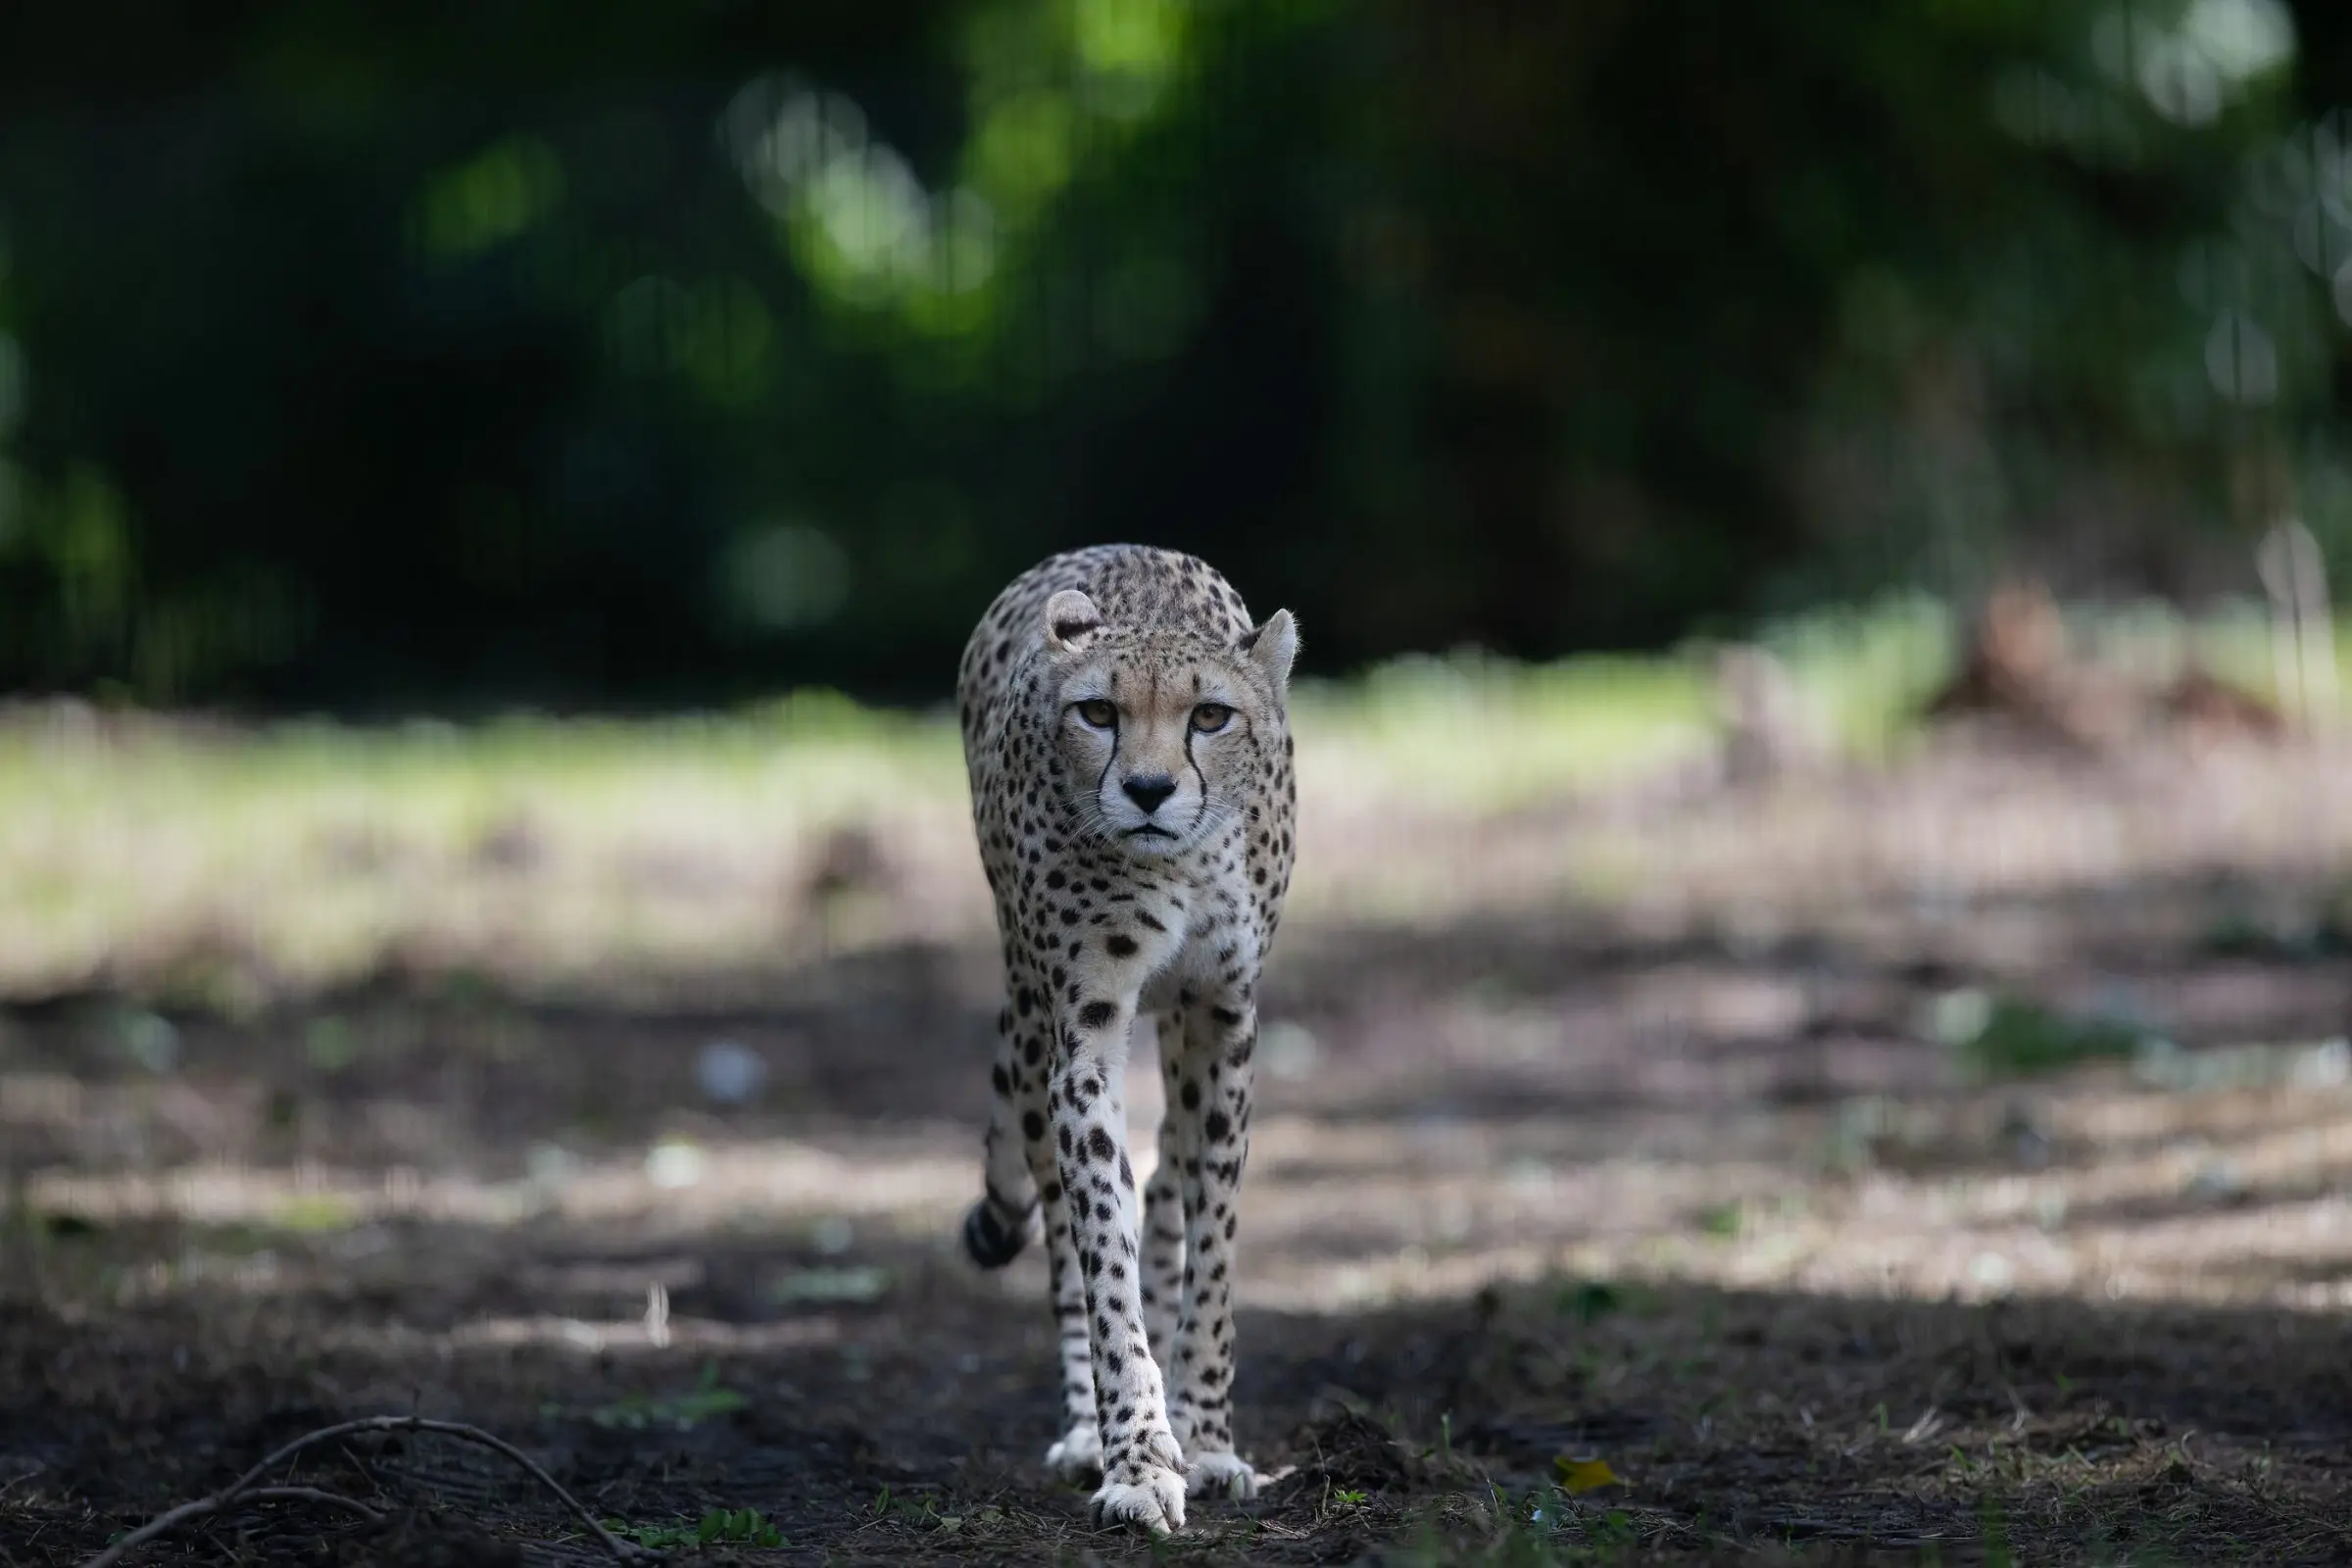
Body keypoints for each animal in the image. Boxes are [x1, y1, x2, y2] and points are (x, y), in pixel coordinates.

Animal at [952, 543, 1299, 1536]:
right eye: (1098, 713)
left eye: (1210, 715)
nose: (1148, 791)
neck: (1178, 862)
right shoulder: (1084, 1030)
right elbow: (1103, 1246)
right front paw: (1137, 1458)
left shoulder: (1223, 1014)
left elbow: (1212, 1245)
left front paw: (1207, 1437)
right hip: (1032, 1009)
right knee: (1066, 1214)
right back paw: (1083, 1432)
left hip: (1176, 1030)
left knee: (1171, 1173)